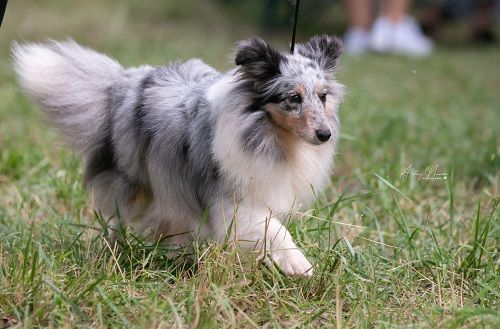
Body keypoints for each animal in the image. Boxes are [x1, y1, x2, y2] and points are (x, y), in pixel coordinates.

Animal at [13, 36, 346, 276]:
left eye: (323, 96)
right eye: (293, 98)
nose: (325, 134)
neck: (271, 136)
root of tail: (124, 81)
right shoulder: (235, 200)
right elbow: (273, 230)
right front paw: (299, 264)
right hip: (133, 183)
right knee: (114, 214)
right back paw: (115, 250)